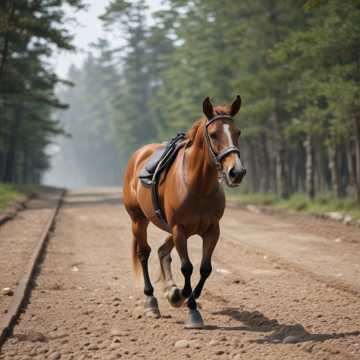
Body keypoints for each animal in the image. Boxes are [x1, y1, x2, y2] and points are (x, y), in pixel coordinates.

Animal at [122, 95, 246, 330]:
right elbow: (187, 267)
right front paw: (187, 305)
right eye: (213, 134)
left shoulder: (212, 231)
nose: (237, 172)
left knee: (162, 251)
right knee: (144, 253)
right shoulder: (180, 230)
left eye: (238, 132)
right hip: (139, 221)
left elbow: (205, 268)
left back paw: (170, 289)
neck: (198, 186)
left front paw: (184, 298)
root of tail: (139, 155)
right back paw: (151, 301)